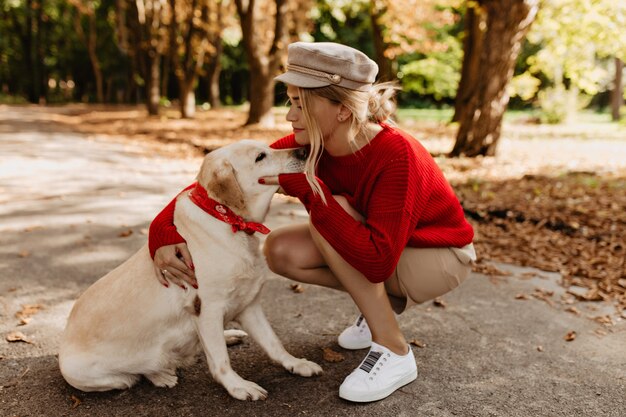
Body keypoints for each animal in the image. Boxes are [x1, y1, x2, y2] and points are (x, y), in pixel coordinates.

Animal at [59, 140, 322, 400]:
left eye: (269, 147)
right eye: (260, 156)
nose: (304, 150)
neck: (225, 218)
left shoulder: (249, 305)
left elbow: (274, 342)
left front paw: (296, 363)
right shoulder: (206, 308)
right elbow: (220, 360)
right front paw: (238, 386)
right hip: (98, 375)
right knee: (134, 375)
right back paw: (162, 374)